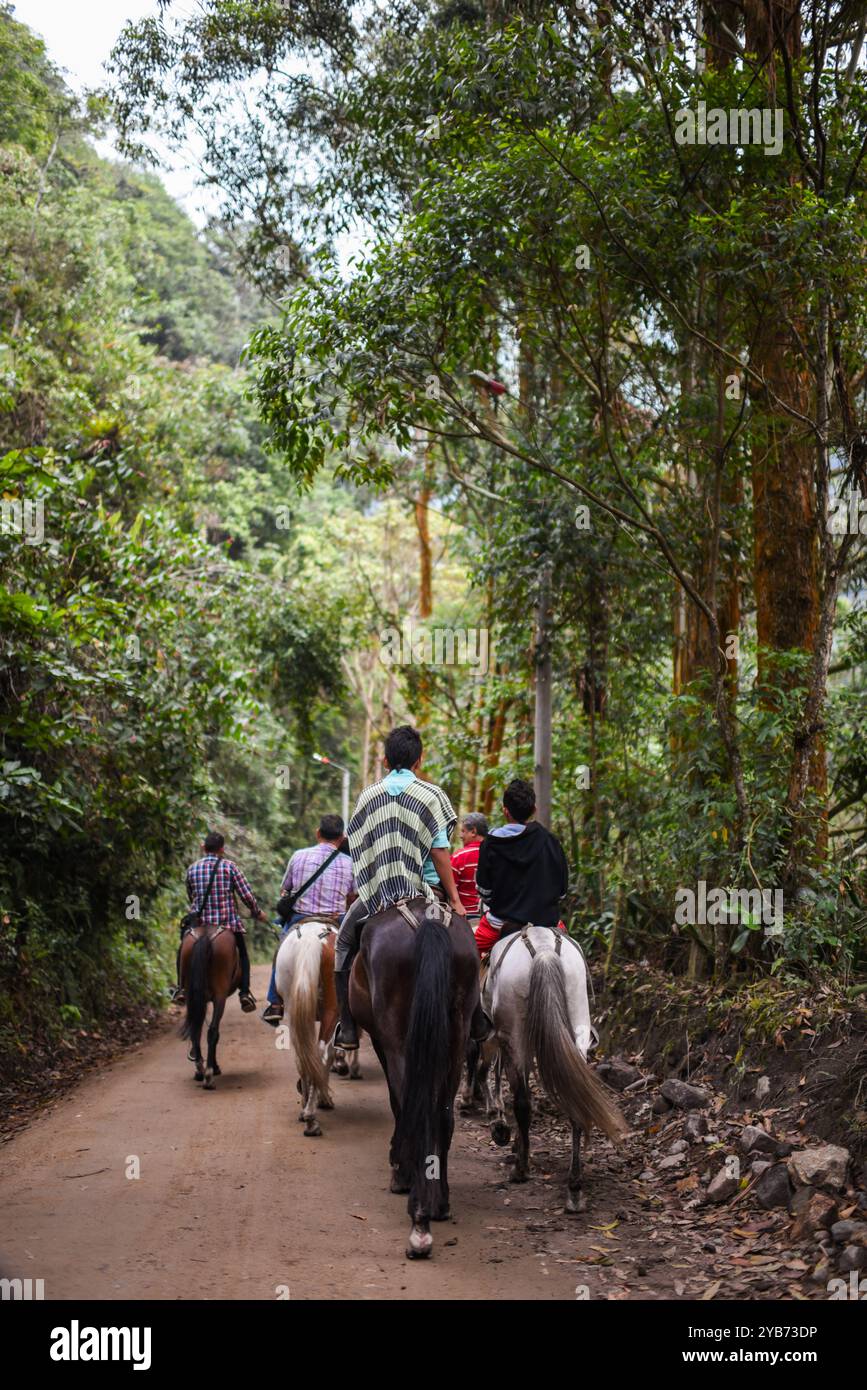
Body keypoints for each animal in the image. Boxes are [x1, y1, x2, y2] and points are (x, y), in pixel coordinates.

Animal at [179, 928, 240, 1089]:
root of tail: (205, 935)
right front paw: (215, 1067)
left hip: (191, 994)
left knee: (196, 1029)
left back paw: (200, 1070)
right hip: (220, 995)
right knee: (212, 1031)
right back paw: (209, 1074)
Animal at [277, 917, 345, 1134]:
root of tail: (311, 938)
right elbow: (329, 1054)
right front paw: (324, 1099)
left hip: (291, 1007)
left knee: (301, 1056)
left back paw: (305, 1108)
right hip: (332, 1008)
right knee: (320, 1052)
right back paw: (311, 1117)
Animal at [347, 895, 480, 1267]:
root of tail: (428, 920)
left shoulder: (381, 1039)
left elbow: (398, 1101)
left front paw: (401, 1172)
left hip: (396, 1033)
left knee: (412, 1104)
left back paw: (418, 1221)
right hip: (457, 1032)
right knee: (444, 1114)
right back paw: (438, 1203)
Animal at [477, 928, 625, 1212]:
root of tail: (543, 948)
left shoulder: (498, 1036)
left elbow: (489, 1072)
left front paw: (500, 1128)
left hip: (515, 1035)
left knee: (521, 1102)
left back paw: (521, 1169)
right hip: (577, 1023)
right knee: (576, 1097)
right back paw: (574, 1188)